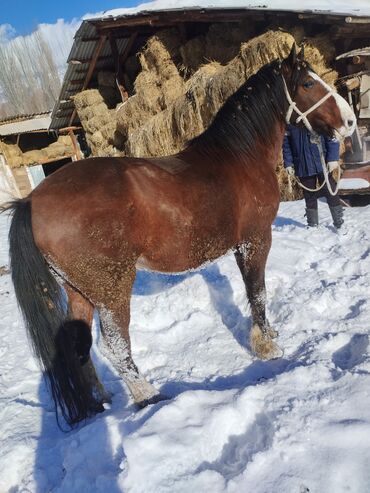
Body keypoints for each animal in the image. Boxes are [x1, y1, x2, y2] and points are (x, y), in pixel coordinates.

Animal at [2, 44, 356, 424]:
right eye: (308, 83)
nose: (350, 122)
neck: (239, 158)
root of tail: (31, 200)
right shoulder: (254, 240)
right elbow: (257, 292)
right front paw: (268, 346)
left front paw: (269, 334)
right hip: (112, 291)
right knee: (115, 346)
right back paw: (148, 396)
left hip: (79, 291)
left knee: (77, 346)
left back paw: (99, 402)